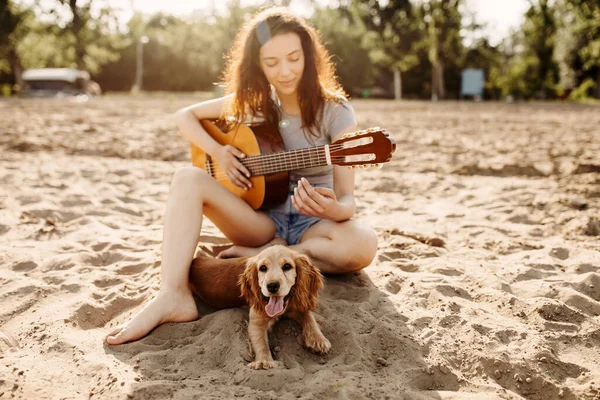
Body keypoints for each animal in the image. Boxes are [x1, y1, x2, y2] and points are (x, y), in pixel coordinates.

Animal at [190, 245, 330, 370]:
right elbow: (261, 343)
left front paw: (318, 339)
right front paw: (264, 361)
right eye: (263, 268)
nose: (272, 286)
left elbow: (309, 316)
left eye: (287, 266)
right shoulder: (256, 322)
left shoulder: (295, 305)